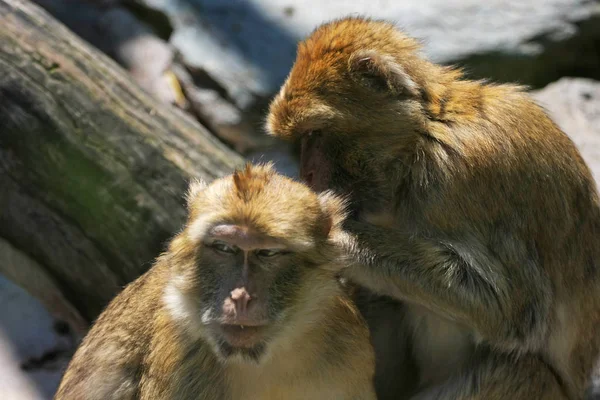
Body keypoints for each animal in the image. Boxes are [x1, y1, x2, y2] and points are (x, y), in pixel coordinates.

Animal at [268, 16, 600, 400]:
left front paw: (328, 235)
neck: (422, 141)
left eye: (314, 134)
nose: (306, 173)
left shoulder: (463, 176)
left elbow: (513, 310)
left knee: (519, 368)